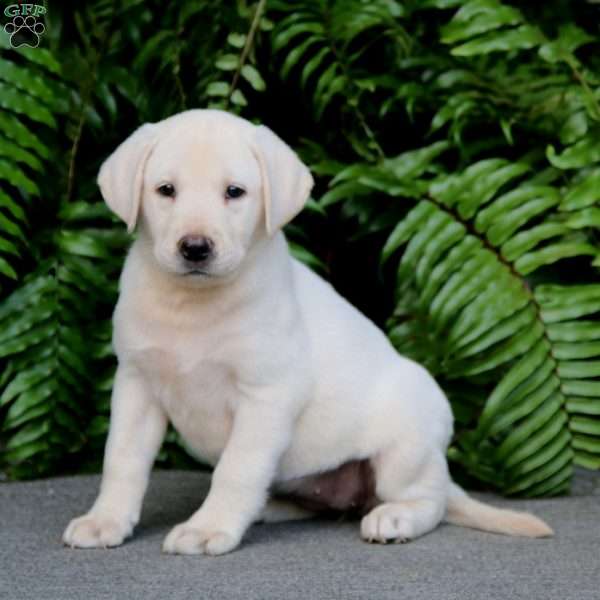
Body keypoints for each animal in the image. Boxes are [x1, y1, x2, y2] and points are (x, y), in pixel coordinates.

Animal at [62, 110, 552, 556]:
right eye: (166, 190)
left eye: (234, 192)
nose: (195, 248)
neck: (193, 305)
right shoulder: (136, 385)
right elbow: (122, 460)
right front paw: (105, 520)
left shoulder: (267, 395)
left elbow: (236, 468)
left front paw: (208, 527)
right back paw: (266, 509)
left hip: (407, 447)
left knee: (428, 502)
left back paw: (396, 518)